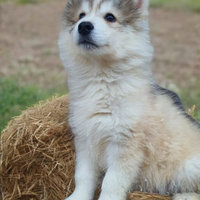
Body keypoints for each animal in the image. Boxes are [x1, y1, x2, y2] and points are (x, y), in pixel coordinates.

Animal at [58, 0, 200, 200]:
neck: (101, 81)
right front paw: (78, 196)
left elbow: (111, 182)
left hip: (188, 168)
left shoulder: (125, 145)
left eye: (110, 17)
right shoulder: (86, 140)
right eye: (81, 15)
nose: (84, 26)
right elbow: (83, 176)